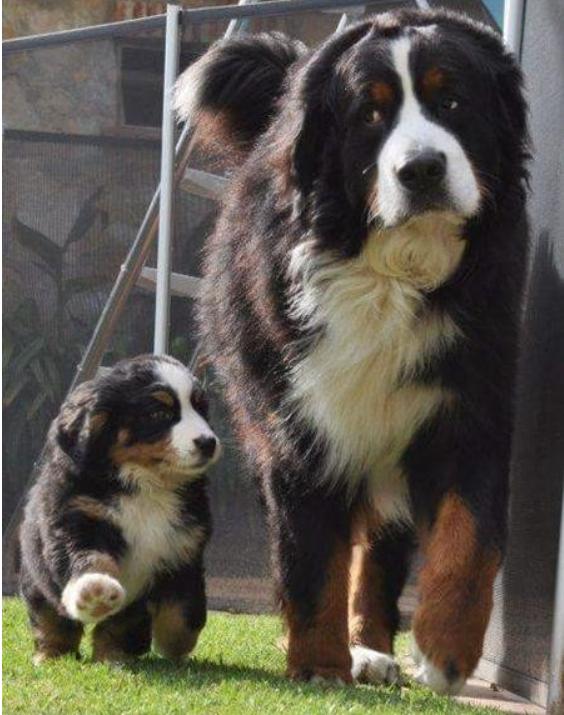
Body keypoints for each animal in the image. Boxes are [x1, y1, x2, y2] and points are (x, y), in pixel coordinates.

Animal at [19, 354, 220, 664]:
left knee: (118, 629)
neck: (146, 486)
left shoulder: (184, 549)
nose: (208, 442)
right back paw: (51, 654)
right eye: (159, 414)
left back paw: (114, 657)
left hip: (132, 611)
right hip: (36, 579)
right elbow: (90, 559)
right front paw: (95, 592)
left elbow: (186, 612)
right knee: (51, 621)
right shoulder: (76, 521)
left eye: (201, 409)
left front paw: (174, 645)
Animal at [175, 9, 529, 693]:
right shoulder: (299, 422)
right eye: (370, 113)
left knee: (379, 548)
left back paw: (373, 646)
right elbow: (311, 556)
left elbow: (471, 538)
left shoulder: (468, 404)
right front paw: (318, 662)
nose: (421, 168)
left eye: (452, 100)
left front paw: (445, 651)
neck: (390, 272)